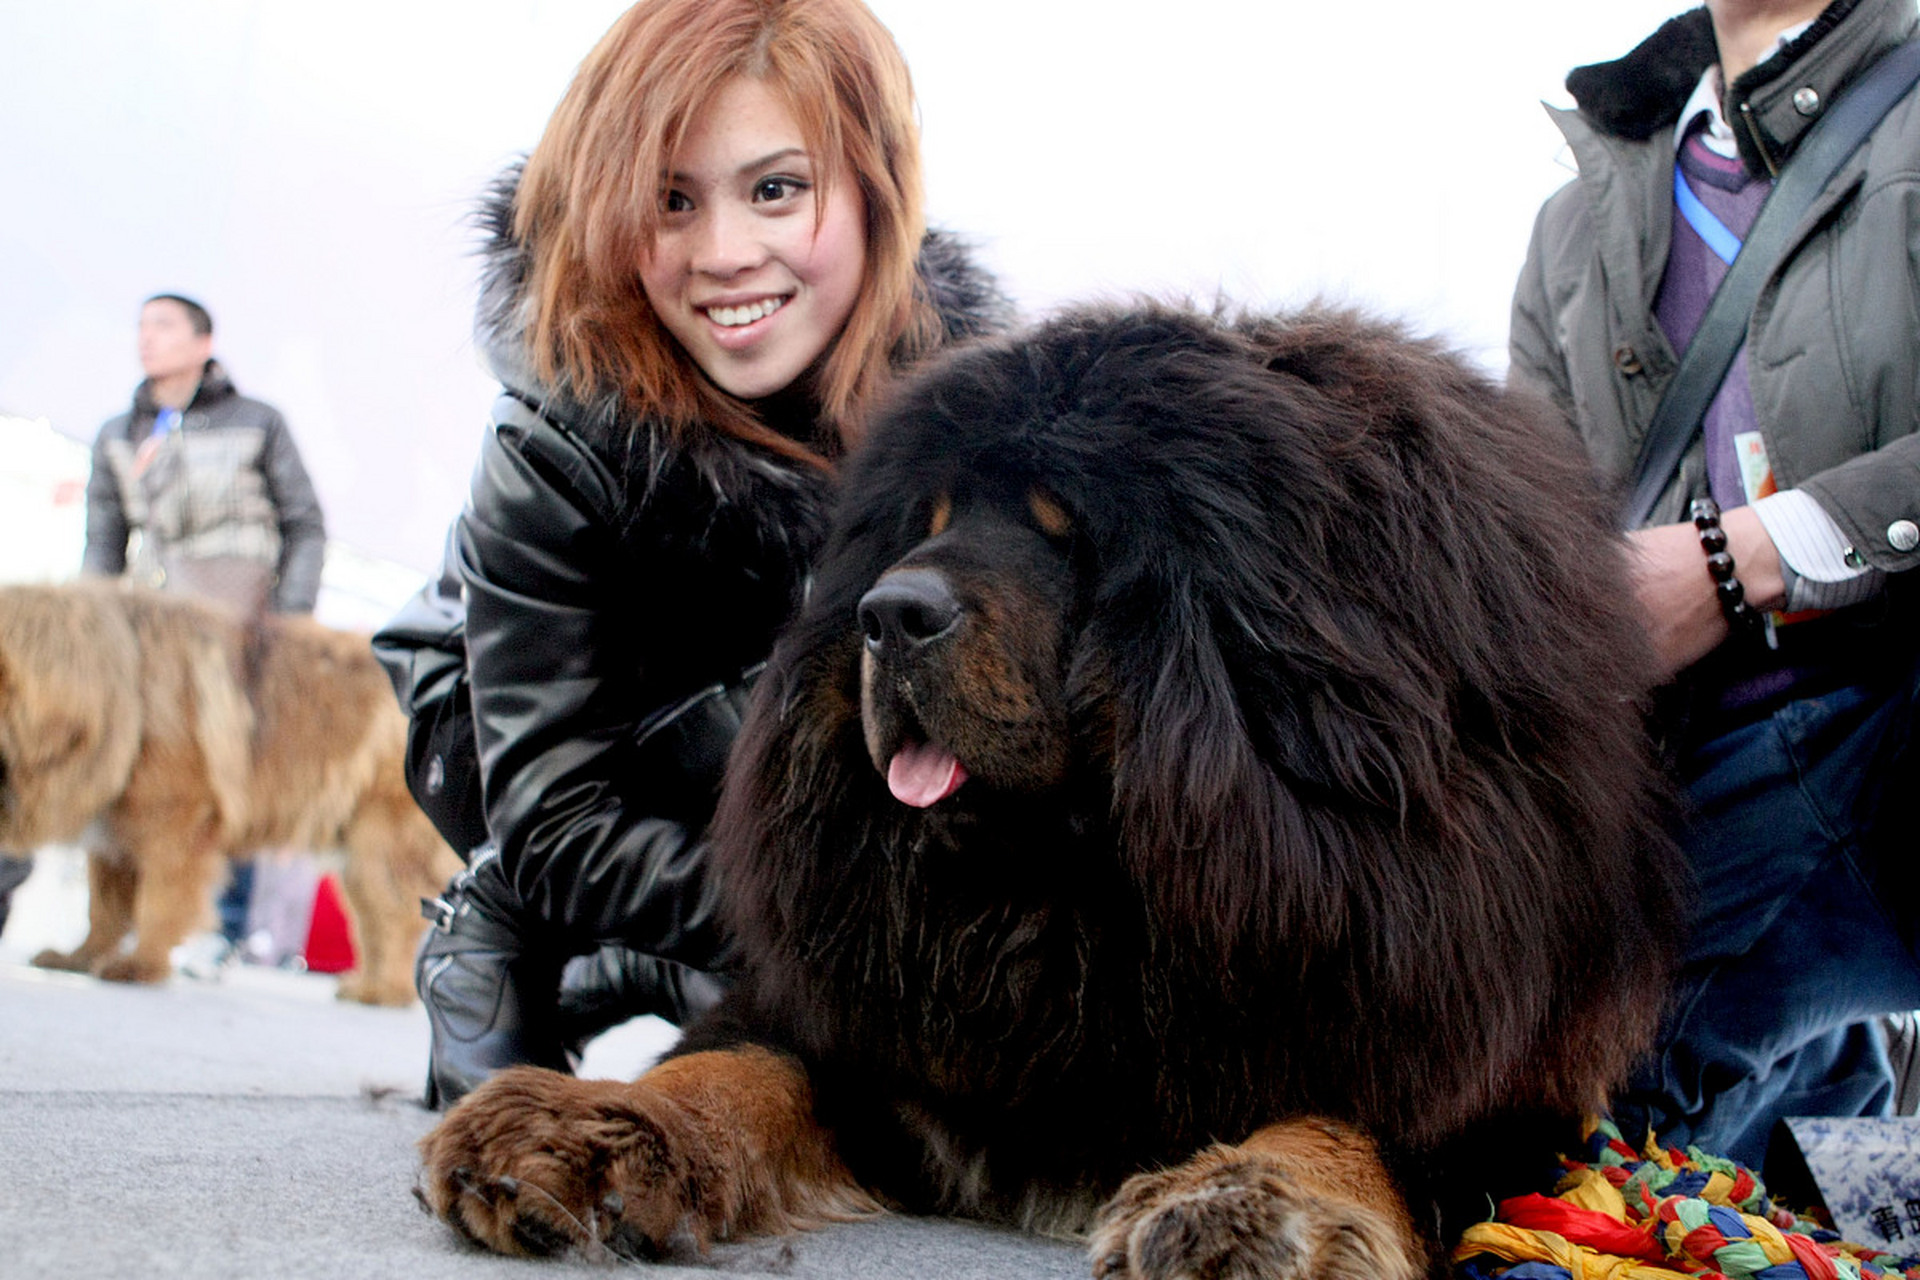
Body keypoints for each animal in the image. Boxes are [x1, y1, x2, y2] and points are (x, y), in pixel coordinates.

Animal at [0, 583, 460, 1013]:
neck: (124, 689)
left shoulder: (176, 822)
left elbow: (158, 902)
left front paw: (140, 966)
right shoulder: (115, 830)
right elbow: (104, 909)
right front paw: (79, 958)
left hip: (382, 844)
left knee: (400, 917)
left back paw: (385, 993)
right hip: (359, 852)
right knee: (377, 921)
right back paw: (366, 985)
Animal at [416, 305, 1681, 1274]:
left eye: (1063, 533)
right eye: (923, 526)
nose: (887, 613)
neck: (1068, 897)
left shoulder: (1451, 1035)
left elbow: (1348, 1117)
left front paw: (1248, 1203)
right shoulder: (867, 1017)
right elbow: (739, 1063)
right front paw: (581, 1129)